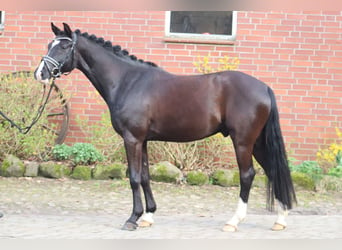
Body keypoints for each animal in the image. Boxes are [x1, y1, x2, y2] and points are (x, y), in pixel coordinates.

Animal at [35, 23, 296, 232]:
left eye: (64, 47)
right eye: (49, 44)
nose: (40, 73)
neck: (128, 81)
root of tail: (264, 87)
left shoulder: (132, 139)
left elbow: (133, 177)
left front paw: (132, 219)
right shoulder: (143, 141)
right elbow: (145, 177)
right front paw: (148, 216)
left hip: (242, 141)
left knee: (247, 175)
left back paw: (233, 221)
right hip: (257, 142)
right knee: (273, 170)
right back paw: (281, 220)